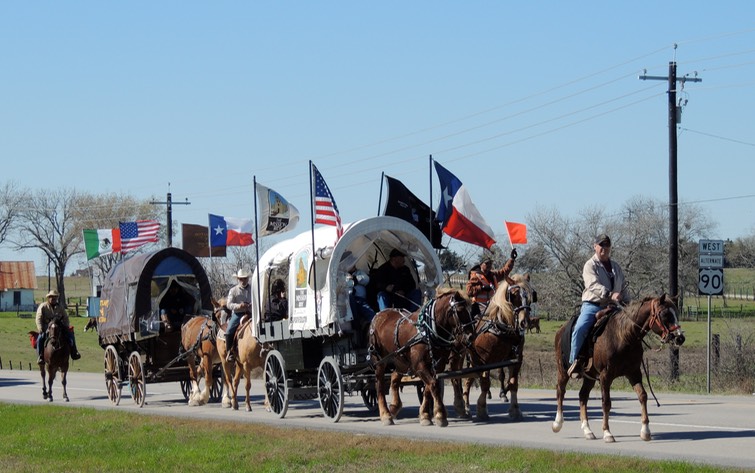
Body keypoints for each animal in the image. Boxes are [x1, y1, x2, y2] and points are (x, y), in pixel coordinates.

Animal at [370, 288, 476, 428]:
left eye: (472, 310)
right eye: (459, 310)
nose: (470, 336)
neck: (427, 330)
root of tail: (378, 315)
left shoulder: (438, 365)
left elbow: (428, 388)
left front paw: (425, 415)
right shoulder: (419, 365)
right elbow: (433, 385)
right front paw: (440, 415)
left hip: (400, 360)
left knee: (394, 379)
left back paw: (394, 407)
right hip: (379, 361)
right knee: (380, 385)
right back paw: (385, 415)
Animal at [452, 272, 536, 420]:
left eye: (530, 296)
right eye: (514, 295)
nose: (524, 322)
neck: (500, 327)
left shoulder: (516, 359)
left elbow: (513, 383)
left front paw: (515, 410)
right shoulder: (484, 360)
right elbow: (485, 384)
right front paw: (481, 409)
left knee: (469, 379)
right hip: (463, 357)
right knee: (463, 380)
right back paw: (464, 407)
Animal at [552, 294, 688, 440]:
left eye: (676, 313)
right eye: (665, 314)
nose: (680, 338)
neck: (624, 336)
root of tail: (560, 330)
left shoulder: (634, 373)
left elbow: (643, 396)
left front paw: (645, 431)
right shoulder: (605, 376)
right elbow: (606, 403)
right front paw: (607, 432)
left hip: (590, 376)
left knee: (583, 396)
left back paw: (587, 430)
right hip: (563, 370)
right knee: (560, 391)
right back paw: (557, 423)